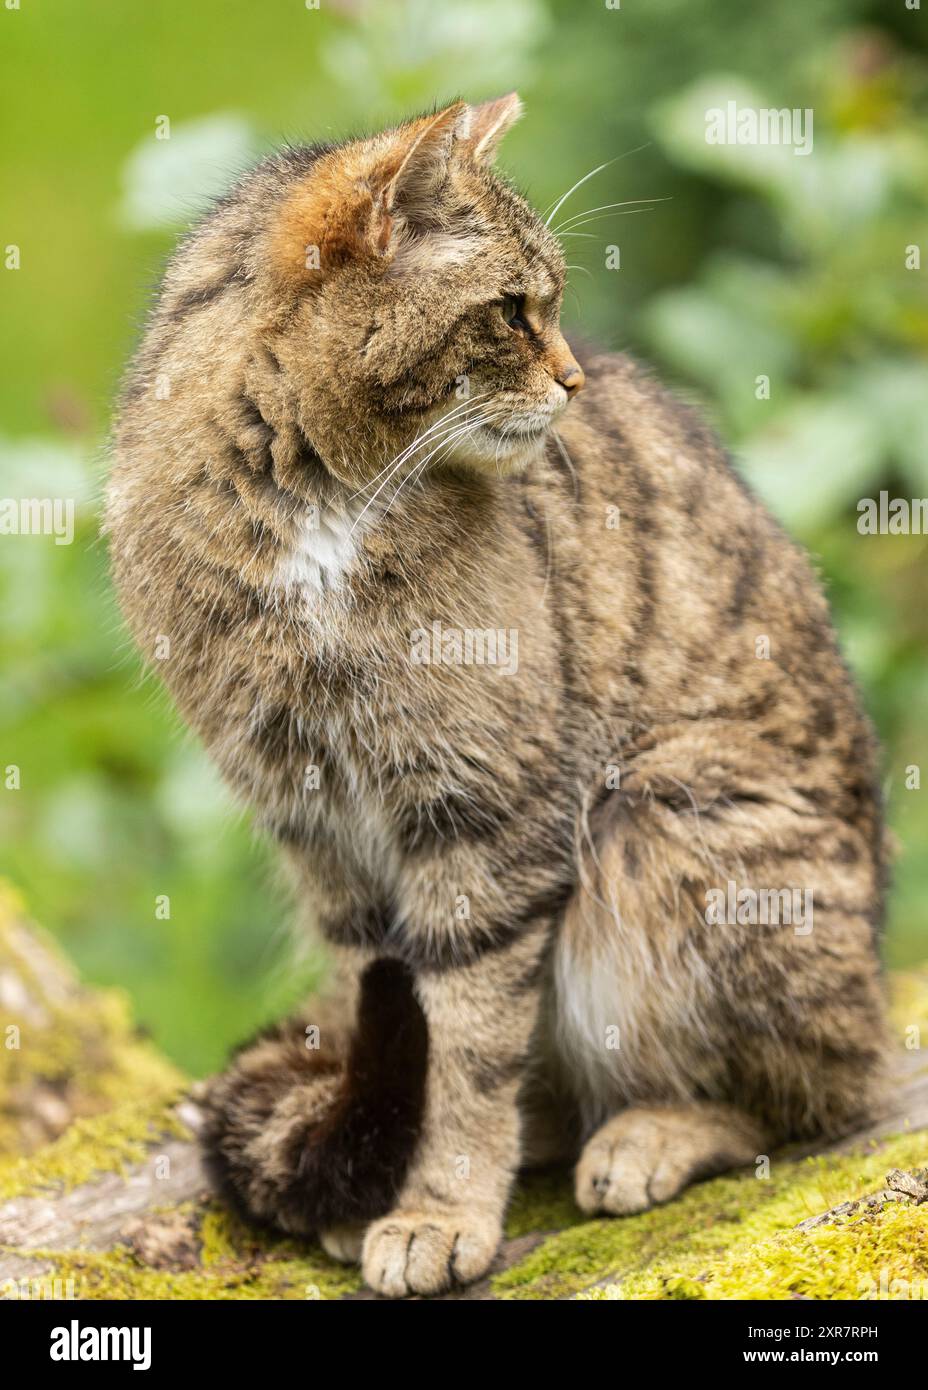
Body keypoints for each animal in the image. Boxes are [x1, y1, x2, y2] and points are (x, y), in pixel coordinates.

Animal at [106, 92, 889, 1295]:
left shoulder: (484, 811)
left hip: (663, 816)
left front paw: (438, 1209)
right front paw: (388, 1187)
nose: (574, 380)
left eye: (553, 304)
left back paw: (648, 1134)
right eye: (513, 310)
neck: (314, 502)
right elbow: (404, 1033)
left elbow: (466, 1046)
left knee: (821, 1094)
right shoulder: (319, 829)